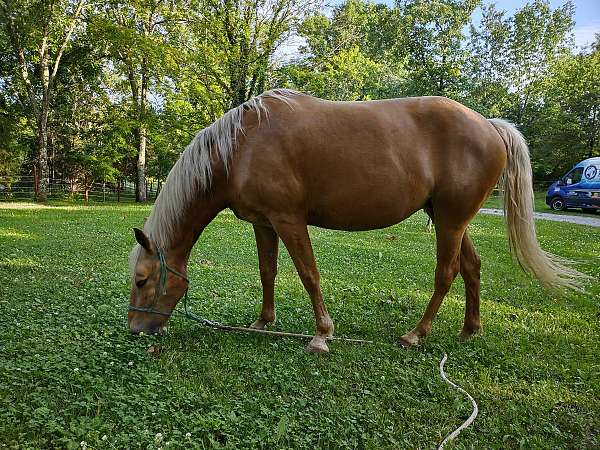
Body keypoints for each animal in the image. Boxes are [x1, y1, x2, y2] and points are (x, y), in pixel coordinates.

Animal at [127, 89, 584, 354]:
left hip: (450, 221)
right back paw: (470, 330)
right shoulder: (264, 223)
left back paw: (415, 334)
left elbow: (308, 274)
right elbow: (267, 272)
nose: (135, 330)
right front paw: (263, 322)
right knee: (472, 267)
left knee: (448, 272)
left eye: (141, 280)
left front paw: (322, 335)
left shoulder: (289, 220)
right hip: (449, 217)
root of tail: (489, 125)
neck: (241, 147)